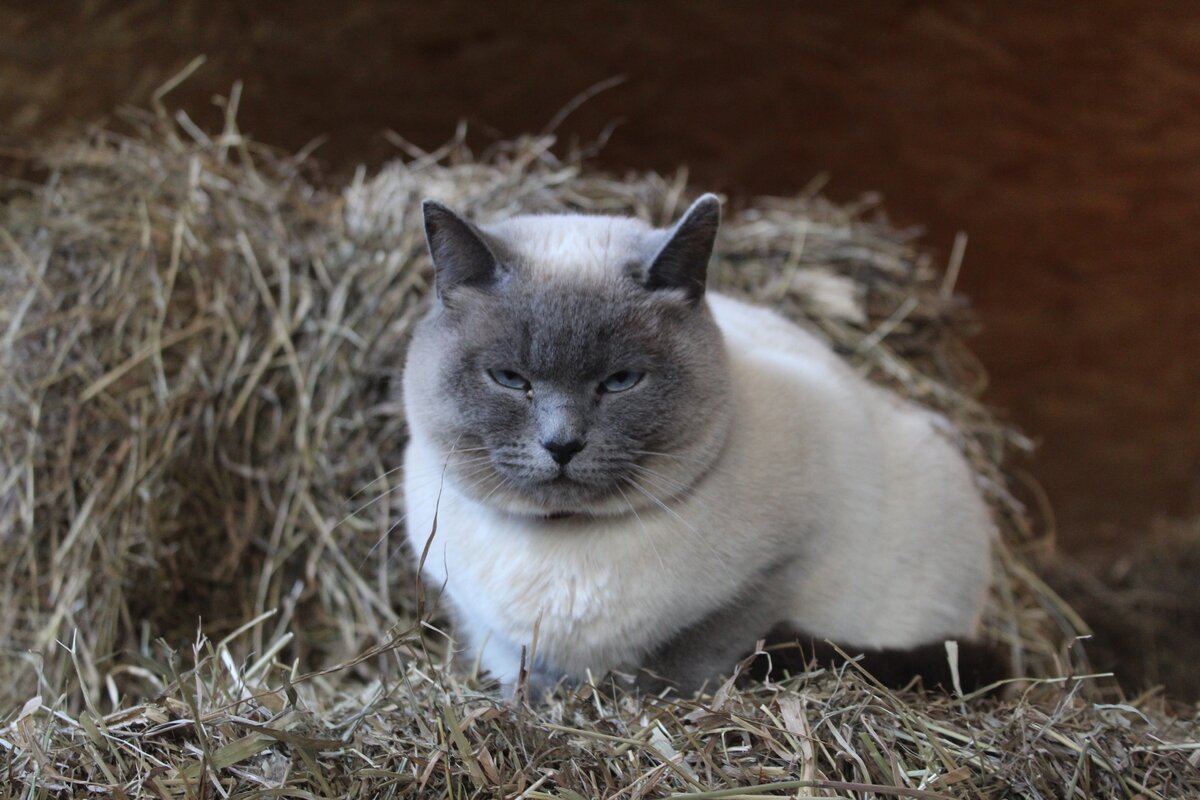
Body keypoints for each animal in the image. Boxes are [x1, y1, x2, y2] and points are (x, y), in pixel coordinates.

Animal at [398, 194, 998, 695]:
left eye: (621, 381)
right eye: (509, 379)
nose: (562, 445)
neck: (562, 541)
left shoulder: (779, 569)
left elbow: (684, 662)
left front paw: (637, 703)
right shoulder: (477, 616)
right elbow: (518, 667)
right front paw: (536, 702)